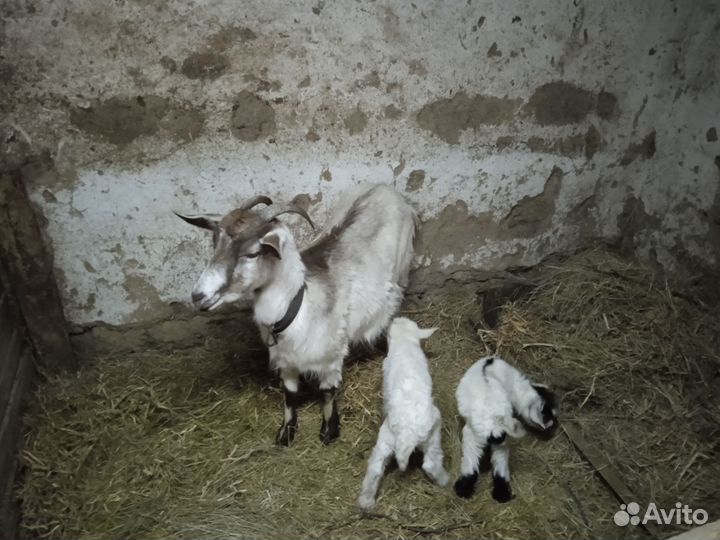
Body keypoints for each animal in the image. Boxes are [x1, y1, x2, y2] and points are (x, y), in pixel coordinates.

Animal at [176, 184, 416, 446]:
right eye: (215, 244)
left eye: (252, 253)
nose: (199, 296)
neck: (299, 305)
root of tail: (385, 187)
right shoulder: (286, 360)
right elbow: (290, 395)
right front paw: (285, 433)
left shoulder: (330, 356)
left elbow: (327, 393)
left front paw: (329, 432)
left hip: (402, 269)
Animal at [357, 317, 448, 511]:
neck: (405, 343)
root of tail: (407, 435)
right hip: (433, 434)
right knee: (431, 462)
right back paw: (446, 480)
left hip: (386, 439)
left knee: (375, 468)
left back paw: (366, 502)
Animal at [454, 355, 557, 502]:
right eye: (548, 415)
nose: (552, 426)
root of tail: (494, 424)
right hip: (494, 441)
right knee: (498, 466)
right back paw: (500, 495)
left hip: (473, 438)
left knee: (472, 464)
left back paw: (466, 491)